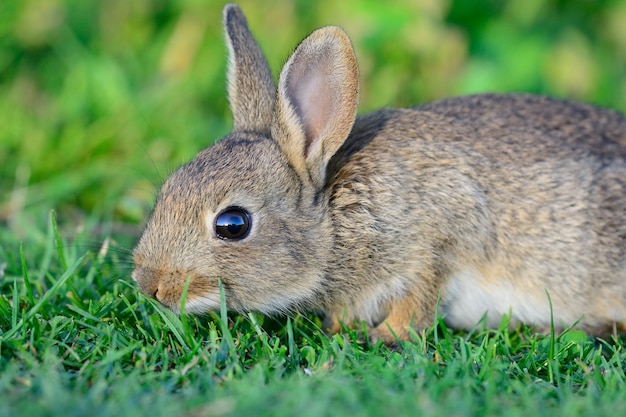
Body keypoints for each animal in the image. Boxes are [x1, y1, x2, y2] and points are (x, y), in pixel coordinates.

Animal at [129, 3, 620, 342]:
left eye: (233, 224)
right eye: (167, 190)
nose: (150, 286)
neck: (333, 221)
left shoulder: (438, 238)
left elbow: (418, 302)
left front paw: (383, 336)